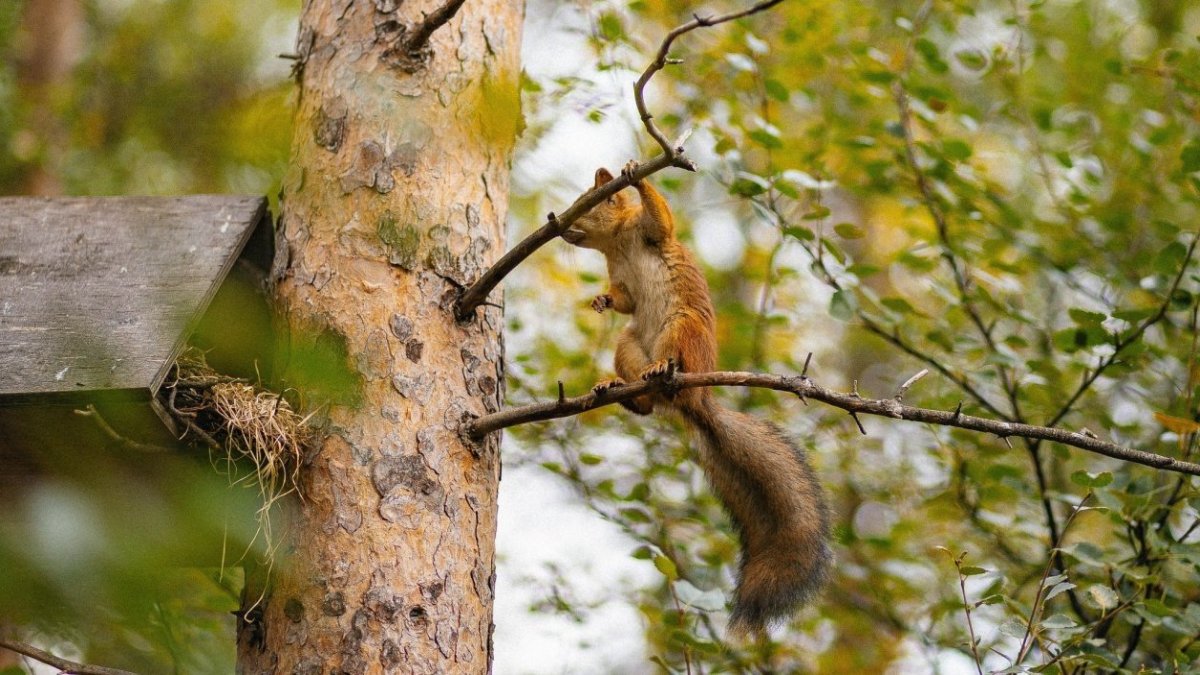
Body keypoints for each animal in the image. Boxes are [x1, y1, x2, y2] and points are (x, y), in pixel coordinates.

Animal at [561, 161, 832, 635]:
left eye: (586, 201)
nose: (558, 227)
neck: (617, 241)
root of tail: (696, 399)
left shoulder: (652, 233)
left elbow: (662, 218)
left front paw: (635, 174)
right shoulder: (621, 277)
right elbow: (625, 300)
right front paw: (602, 299)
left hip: (681, 328)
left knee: (671, 364)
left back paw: (658, 373)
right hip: (628, 344)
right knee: (647, 401)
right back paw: (619, 390)